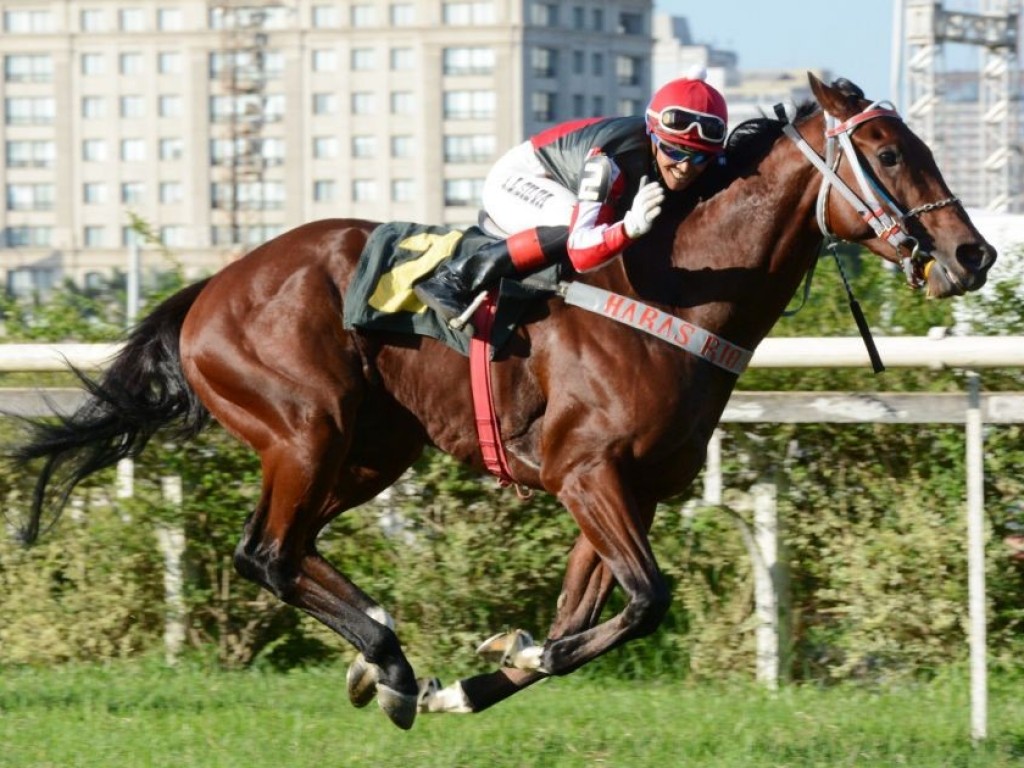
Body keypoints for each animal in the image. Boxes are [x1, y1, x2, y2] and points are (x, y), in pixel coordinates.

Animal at [14, 75, 991, 729]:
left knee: (287, 550)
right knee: (268, 553)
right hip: (305, 428)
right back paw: (388, 660)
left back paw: (384, 660)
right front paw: (491, 661)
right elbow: (640, 605)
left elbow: (586, 618)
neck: (678, 290)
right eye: (891, 152)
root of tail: (209, 288)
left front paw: (476, 675)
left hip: (372, 448)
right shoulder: (587, 475)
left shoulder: (626, 491)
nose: (972, 255)